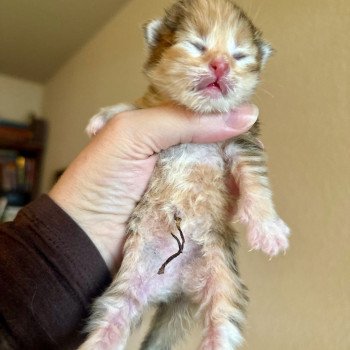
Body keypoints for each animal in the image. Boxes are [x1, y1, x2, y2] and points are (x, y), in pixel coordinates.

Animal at [79, 1, 290, 348]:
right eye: (196, 45)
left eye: (239, 55)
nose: (221, 65)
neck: (197, 113)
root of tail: (175, 288)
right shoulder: (148, 108)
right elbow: (129, 107)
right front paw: (102, 119)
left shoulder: (243, 143)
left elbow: (256, 183)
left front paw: (268, 229)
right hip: (124, 289)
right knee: (112, 320)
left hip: (222, 279)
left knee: (222, 322)